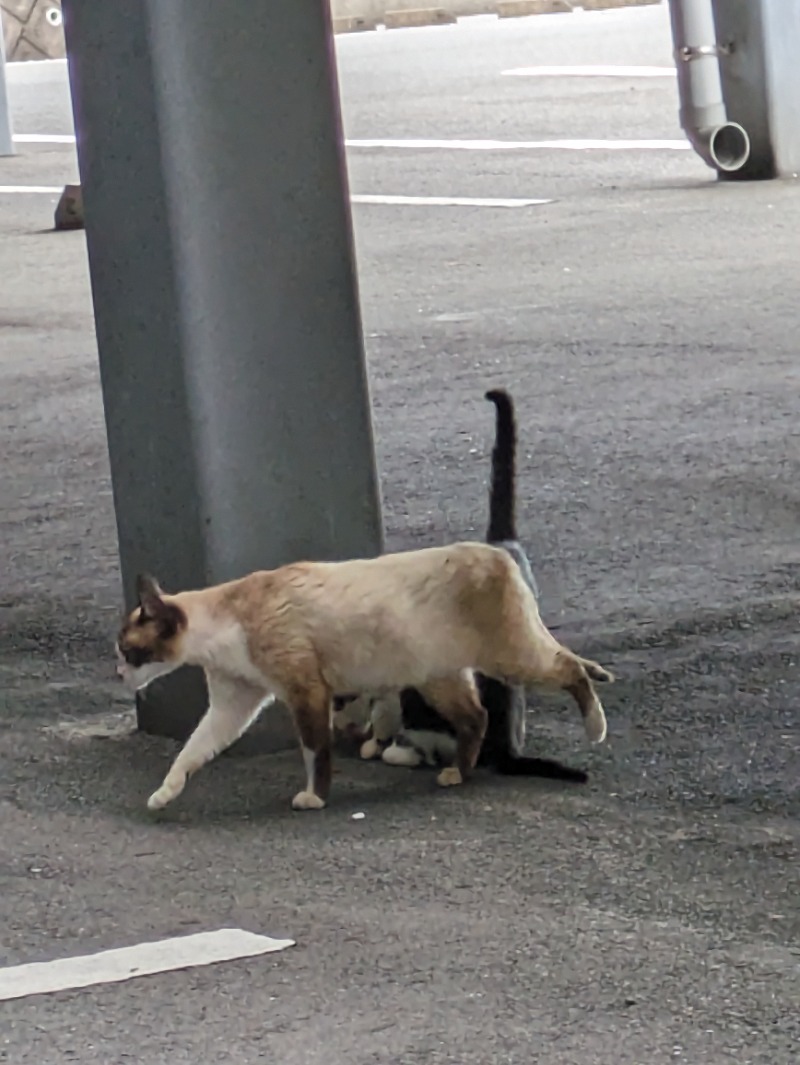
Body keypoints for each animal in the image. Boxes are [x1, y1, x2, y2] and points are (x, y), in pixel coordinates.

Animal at [115, 541, 609, 813]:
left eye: (128, 651)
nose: (118, 673)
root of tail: (499, 552)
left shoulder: (306, 693)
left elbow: (316, 753)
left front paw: (314, 798)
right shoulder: (231, 706)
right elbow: (190, 753)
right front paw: (163, 795)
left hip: (510, 658)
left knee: (571, 669)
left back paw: (595, 728)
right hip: (438, 676)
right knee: (476, 717)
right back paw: (457, 773)